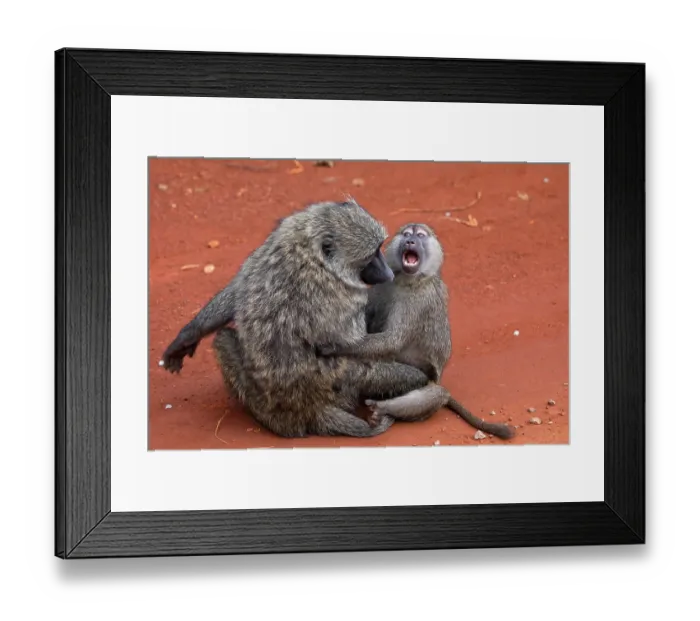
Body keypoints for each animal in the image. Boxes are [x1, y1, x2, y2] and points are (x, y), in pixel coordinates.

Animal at [161, 200, 432, 439]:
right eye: (372, 255)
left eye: (379, 249)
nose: (387, 273)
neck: (309, 247)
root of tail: (306, 411)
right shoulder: (348, 295)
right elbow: (349, 351)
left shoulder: (279, 236)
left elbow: (239, 289)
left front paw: (187, 337)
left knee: (222, 339)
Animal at [317, 222, 515, 440]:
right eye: (406, 234)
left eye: (420, 235)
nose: (411, 241)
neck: (409, 279)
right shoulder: (385, 285)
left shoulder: (419, 301)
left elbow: (392, 341)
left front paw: (333, 346)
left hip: (426, 381)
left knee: (437, 394)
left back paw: (382, 408)